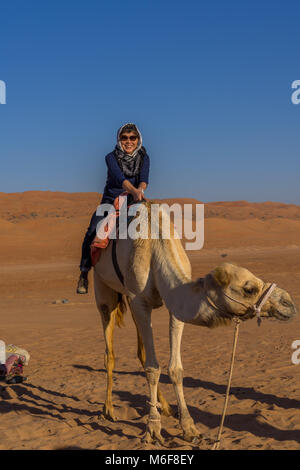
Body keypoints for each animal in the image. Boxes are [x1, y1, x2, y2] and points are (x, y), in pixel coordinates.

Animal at [94, 202, 298, 444]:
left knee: (140, 352)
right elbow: (153, 368)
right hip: (103, 288)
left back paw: (165, 407)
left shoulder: (175, 307)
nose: (288, 303)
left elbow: (175, 368)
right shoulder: (138, 300)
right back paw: (109, 410)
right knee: (110, 351)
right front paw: (153, 428)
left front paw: (189, 428)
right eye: (249, 289)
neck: (154, 245)